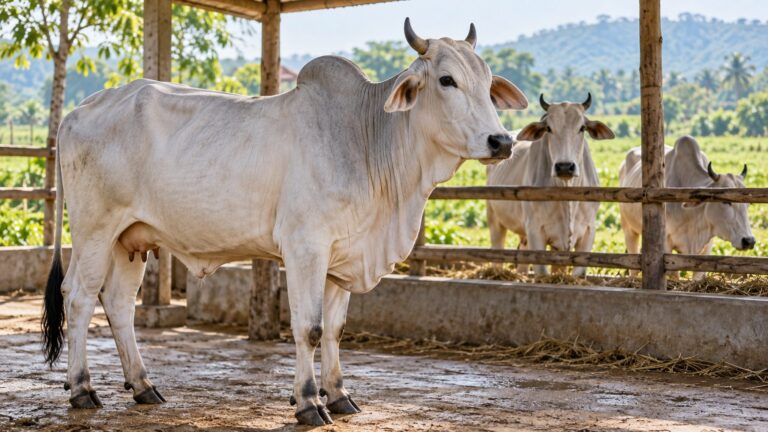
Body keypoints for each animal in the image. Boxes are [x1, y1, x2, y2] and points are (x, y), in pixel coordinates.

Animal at [41, 19, 529, 426]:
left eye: (488, 84)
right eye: (447, 80)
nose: (501, 141)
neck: (367, 139)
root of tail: (77, 112)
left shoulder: (341, 256)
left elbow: (335, 330)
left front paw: (339, 395)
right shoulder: (305, 248)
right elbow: (308, 328)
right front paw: (308, 402)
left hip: (131, 239)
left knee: (118, 303)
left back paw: (144, 386)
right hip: (94, 230)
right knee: (78, 297)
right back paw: (82, 390)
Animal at [486, 94, 615, 276]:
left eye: (582, 128)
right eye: (548, 128)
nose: (565, 167)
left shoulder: (588, 231)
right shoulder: (535, 231)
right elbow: (542, 272)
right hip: (495, 220)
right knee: (497, 254)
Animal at [619, 135, 755, 278]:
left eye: (748, 203)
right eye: (726, 201)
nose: (749, 241)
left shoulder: (708, 244)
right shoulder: (666, 246)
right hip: (628, 230)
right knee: (633, 267)